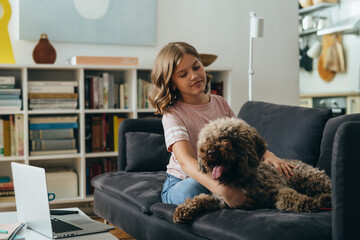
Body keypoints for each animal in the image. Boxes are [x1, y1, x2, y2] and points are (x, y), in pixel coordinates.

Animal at [174, 117, 332, 223]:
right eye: (208, 139)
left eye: (227, 138)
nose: (210, 152)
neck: (239, 180)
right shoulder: (221, 200)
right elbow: (201, 198)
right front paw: (184, 209)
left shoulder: (275, 189)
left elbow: (288, 194)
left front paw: (304, 201)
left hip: (308, 178)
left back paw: (323, 199)